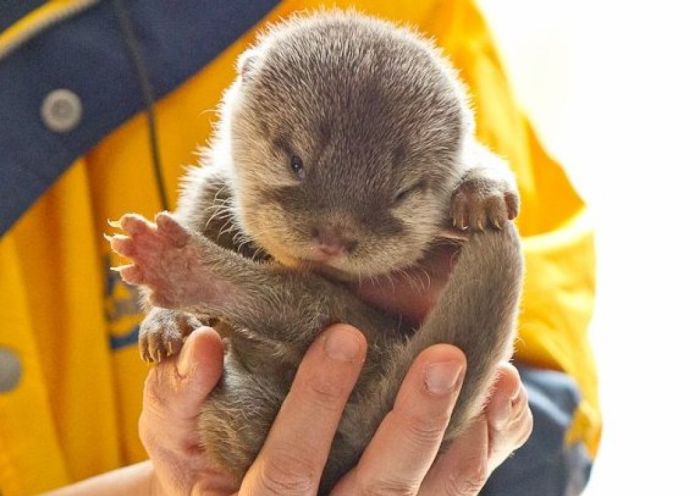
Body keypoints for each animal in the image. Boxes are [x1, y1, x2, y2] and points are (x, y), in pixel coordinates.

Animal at [109, 10, 524, 492]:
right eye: (295, 160)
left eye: (401, 193)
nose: (334, 236)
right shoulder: (210, 187)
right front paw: (165, 321)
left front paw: (482, 192)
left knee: (298, 304)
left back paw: (180, 267)